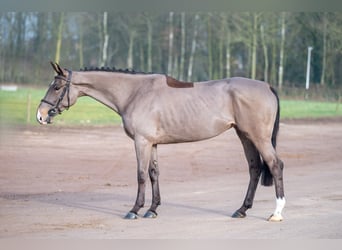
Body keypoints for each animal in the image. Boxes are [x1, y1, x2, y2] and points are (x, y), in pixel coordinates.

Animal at [36, 62, 284, 221]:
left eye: (56, 87)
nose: (40, 115)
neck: (135, 93)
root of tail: (267, 86)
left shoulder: (141, 141)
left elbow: (141, 175)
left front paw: (135, 210)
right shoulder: (152, 143)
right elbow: (154, 173)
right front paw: (152, 209)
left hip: (258, 137)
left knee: (275, 165)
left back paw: (276, 213)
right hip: (244, 136)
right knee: (254, 168)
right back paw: (242, 210)